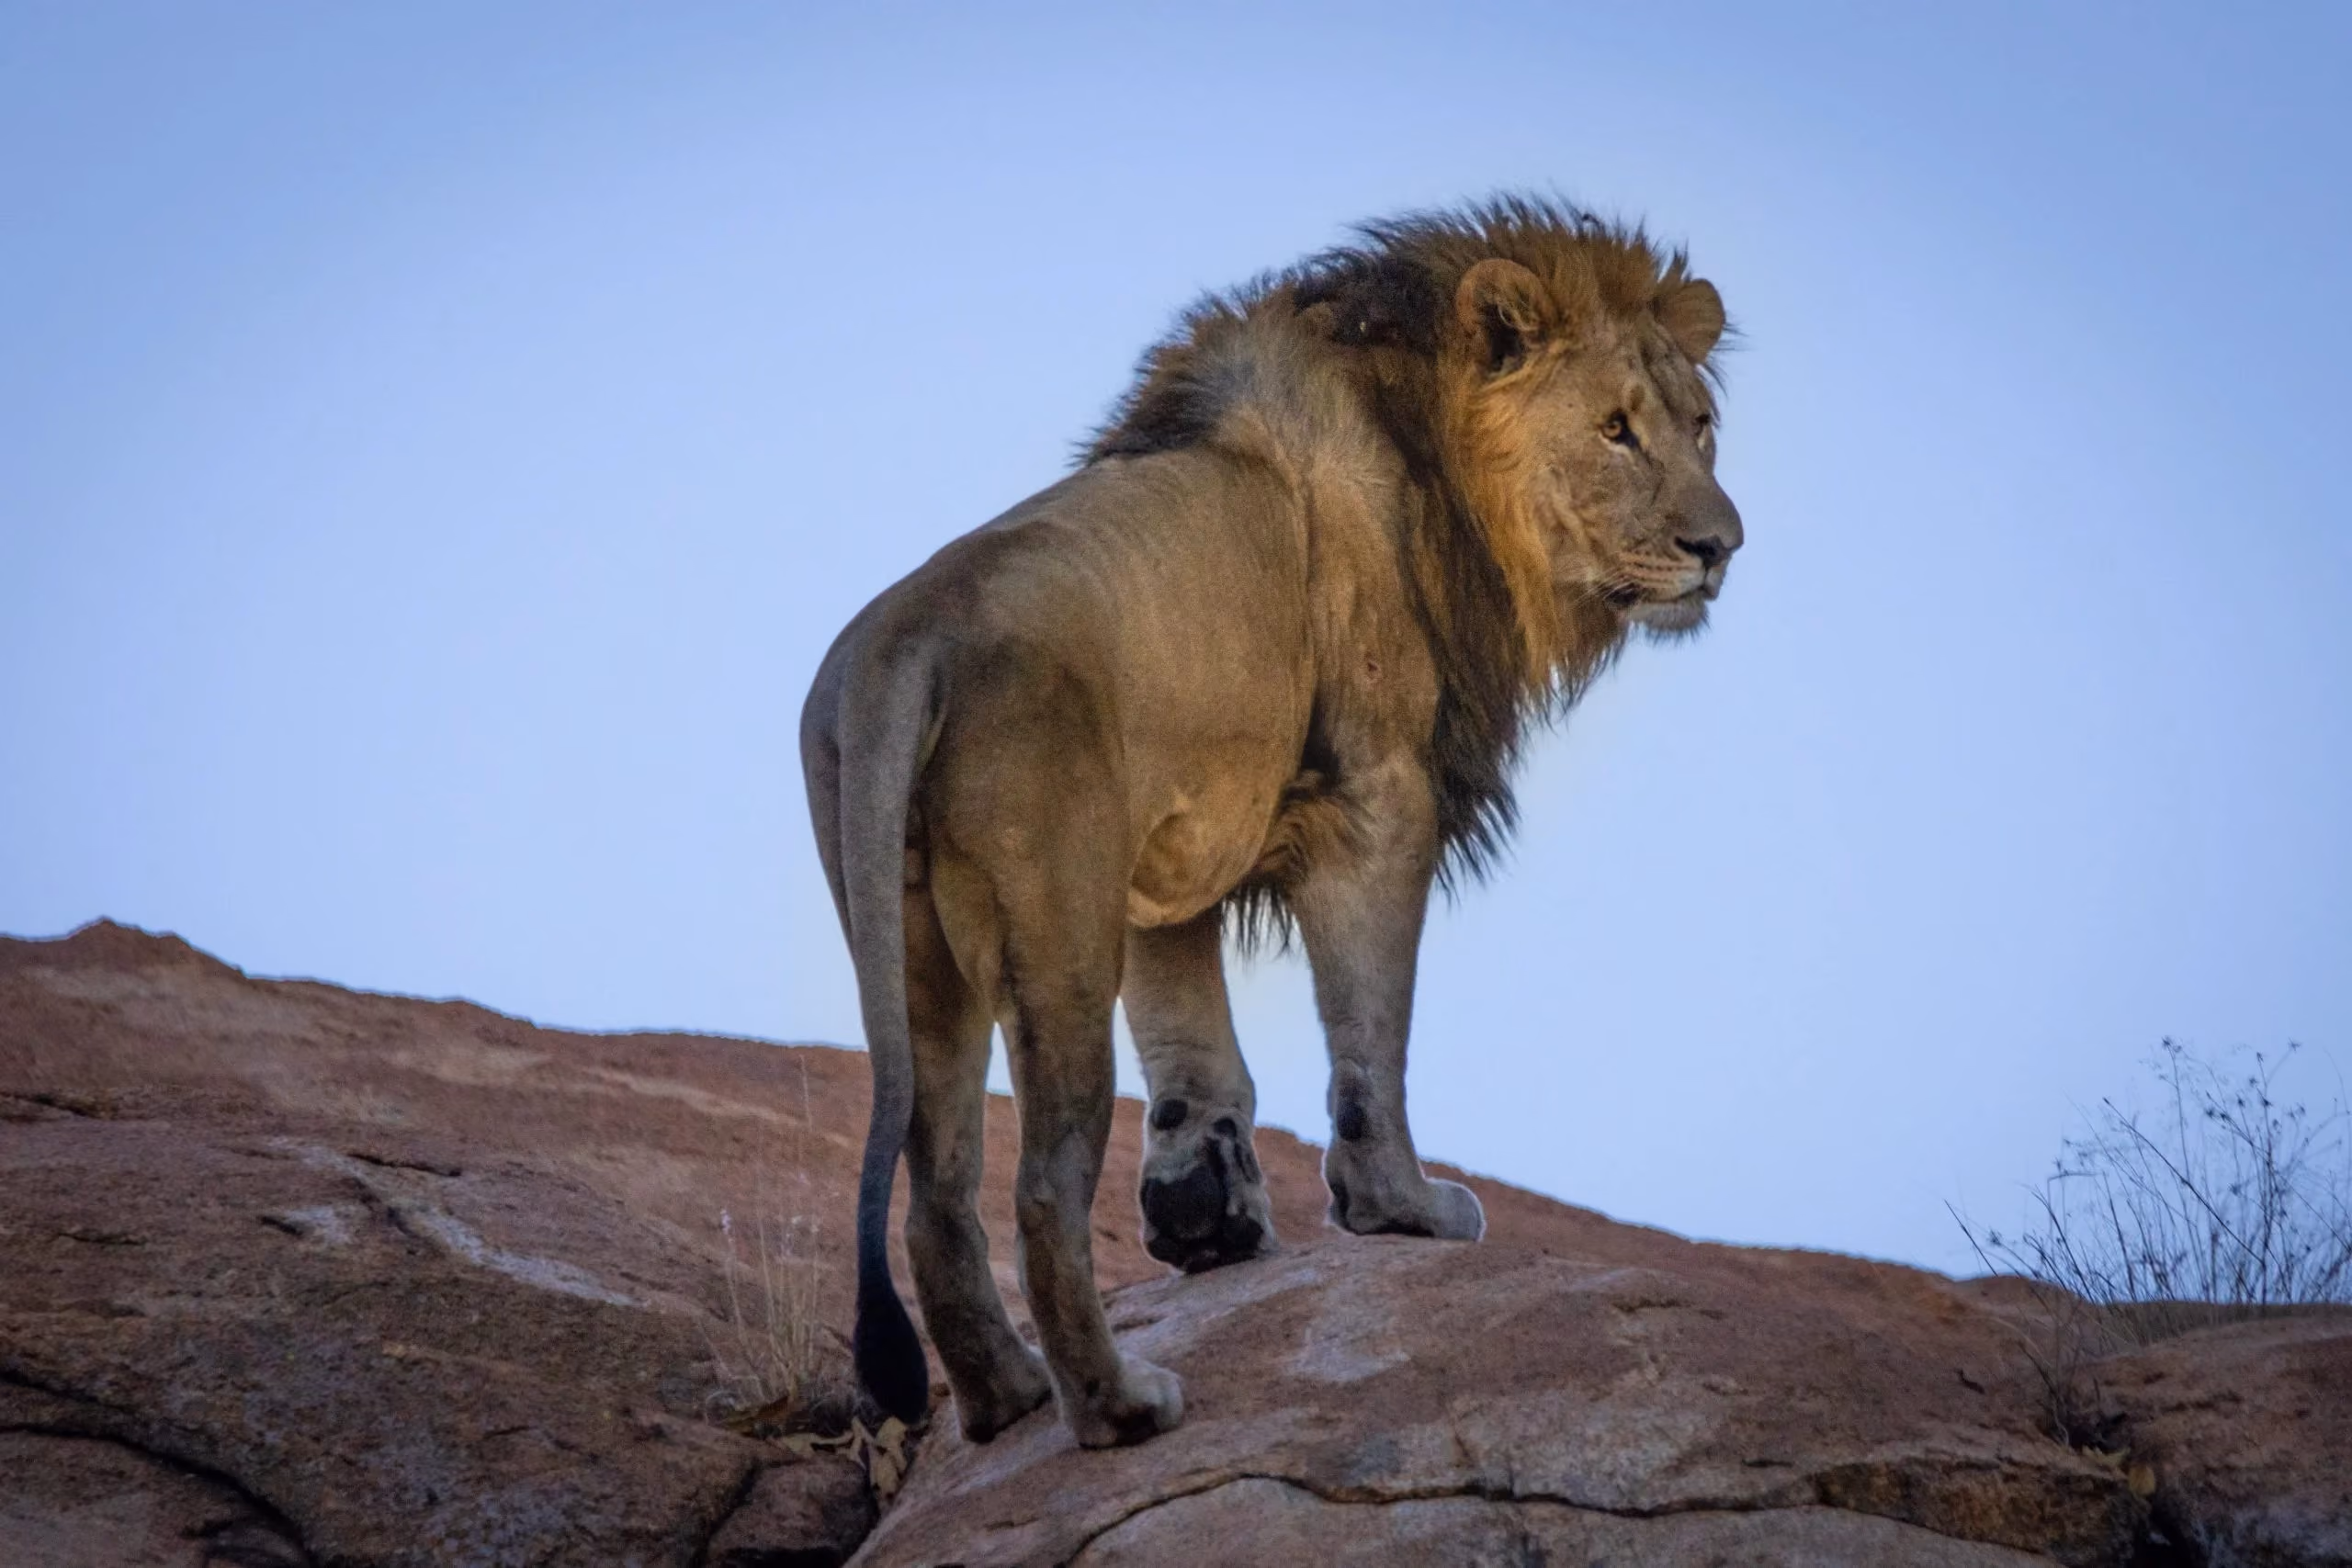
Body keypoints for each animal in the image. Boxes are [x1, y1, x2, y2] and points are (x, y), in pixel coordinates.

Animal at [800, 197, 1741, 1448]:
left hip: (915, 951)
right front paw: (1399, 1207)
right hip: (1054, 927)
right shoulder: (1377, 799)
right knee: (1040, 1187)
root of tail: (905, 642)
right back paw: (1118, 1407)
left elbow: (1197, 1062)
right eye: (1615, 431)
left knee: (936, 1193)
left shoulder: (1165, 857)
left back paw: (1007, 1397)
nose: (1719, 547)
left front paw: (1208, 1221)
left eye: (1701, 428)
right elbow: (1370, 1038)